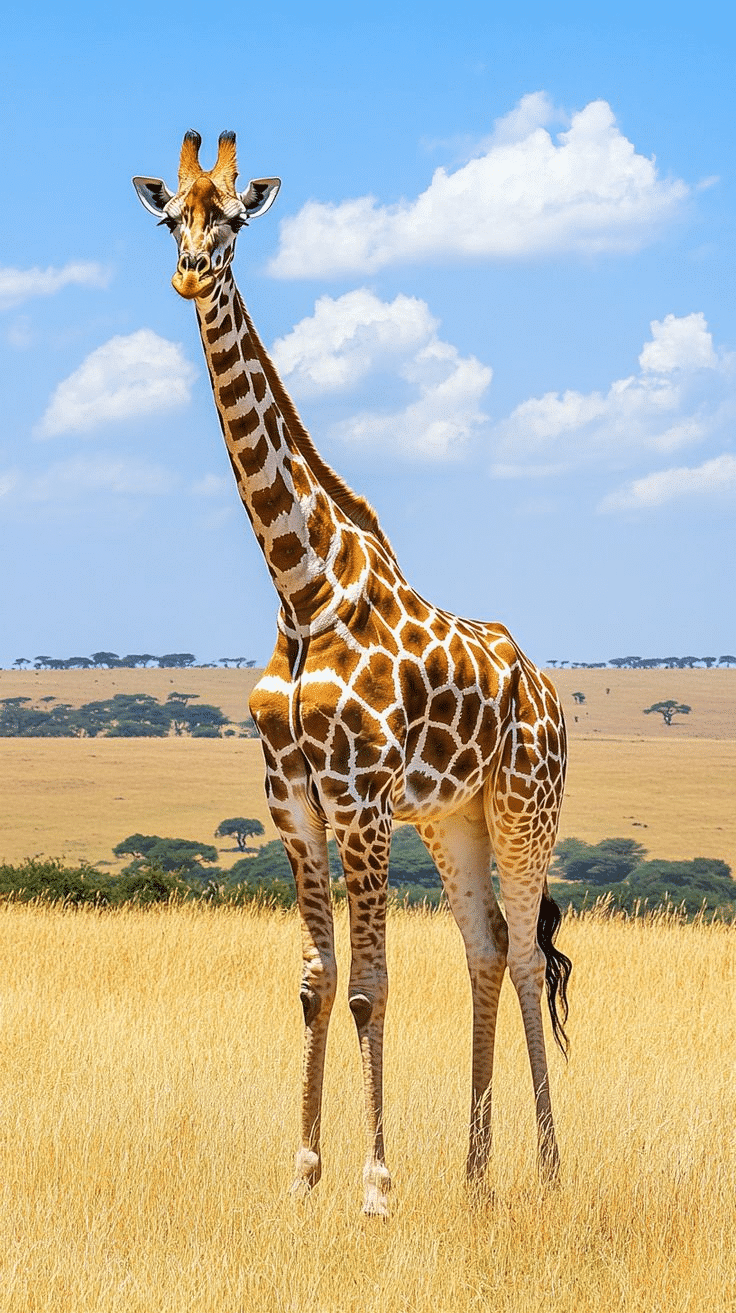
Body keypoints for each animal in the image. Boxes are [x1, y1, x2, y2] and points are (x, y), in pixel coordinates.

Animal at [134, 131, 571, 1218]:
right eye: (170, 218)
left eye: (233, 218)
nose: (190, 271)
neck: (302, 583)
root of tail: (548, 692)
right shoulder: (293, 799)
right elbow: (317, 980)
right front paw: (304, 1174)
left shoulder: (362, 797)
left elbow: (372, 981)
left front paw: (375, 1185)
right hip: (455, 817)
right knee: (486, 946)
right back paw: (475, 1174)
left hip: (524, 807)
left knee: (529, 957)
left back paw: (547, 1169)